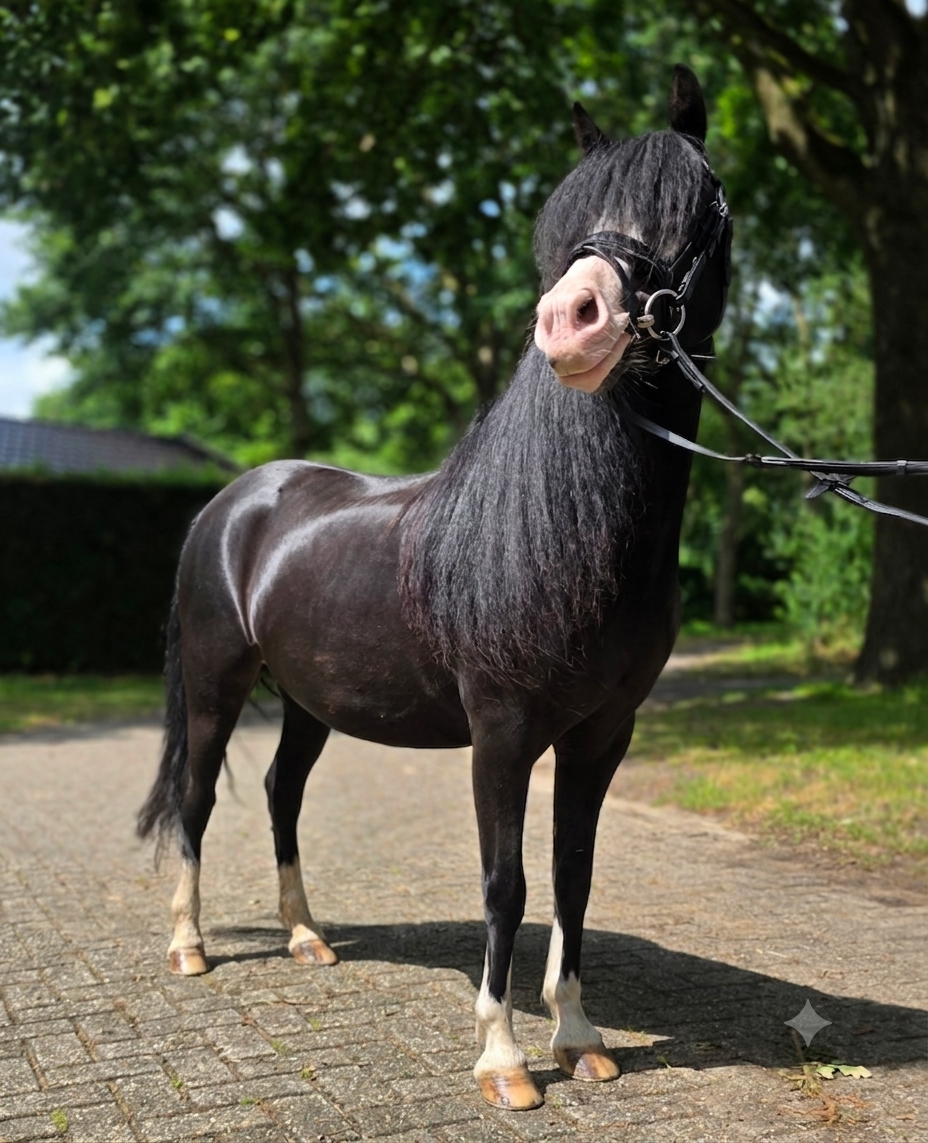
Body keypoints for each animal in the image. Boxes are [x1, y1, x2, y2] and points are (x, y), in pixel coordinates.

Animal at [138, 64, 731, 1111]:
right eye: (567, 223)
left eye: (695, 207)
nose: (569, 323)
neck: (564, 536)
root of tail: (234, 501)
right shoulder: (501, 732)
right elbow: (507, 883)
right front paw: (504, 1058)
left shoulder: (600, 735)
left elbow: (573, 877)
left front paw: (581, 1038)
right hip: (214, 685)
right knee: (199, 797)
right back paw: (190, 946)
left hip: (309, 700)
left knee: (284, 792)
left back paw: (307, 937)